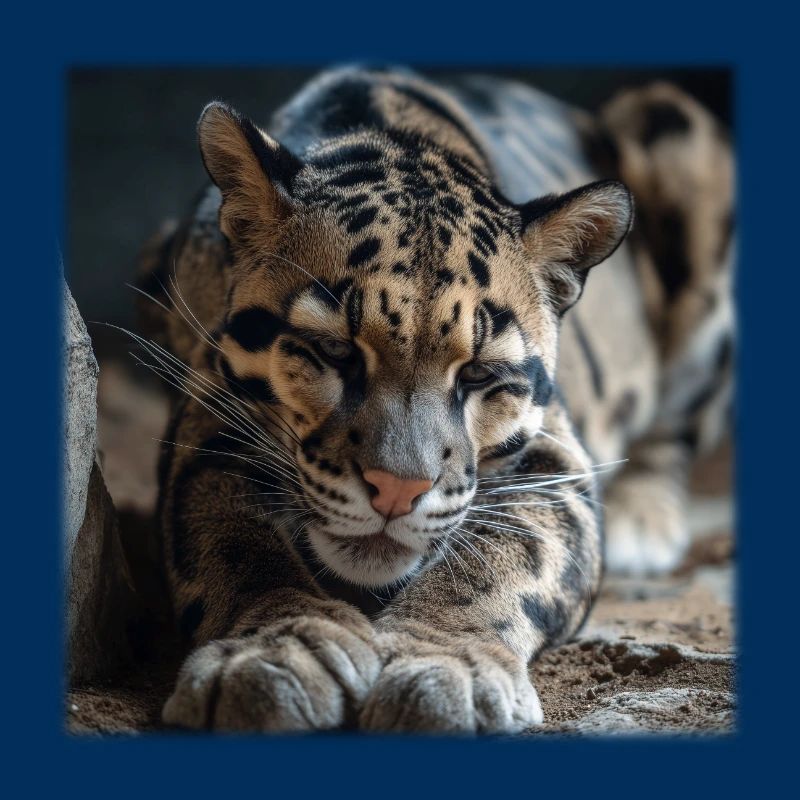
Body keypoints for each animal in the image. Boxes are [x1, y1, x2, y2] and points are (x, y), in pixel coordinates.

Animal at [134, 65, 734, 733]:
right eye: (335, 351)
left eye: (477, 374)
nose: (398, 491)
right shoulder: (206, 415)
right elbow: (231, 535)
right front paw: (275, 649)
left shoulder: (555, 452)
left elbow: (509, 548)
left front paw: (445, 662)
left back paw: (641, 520)